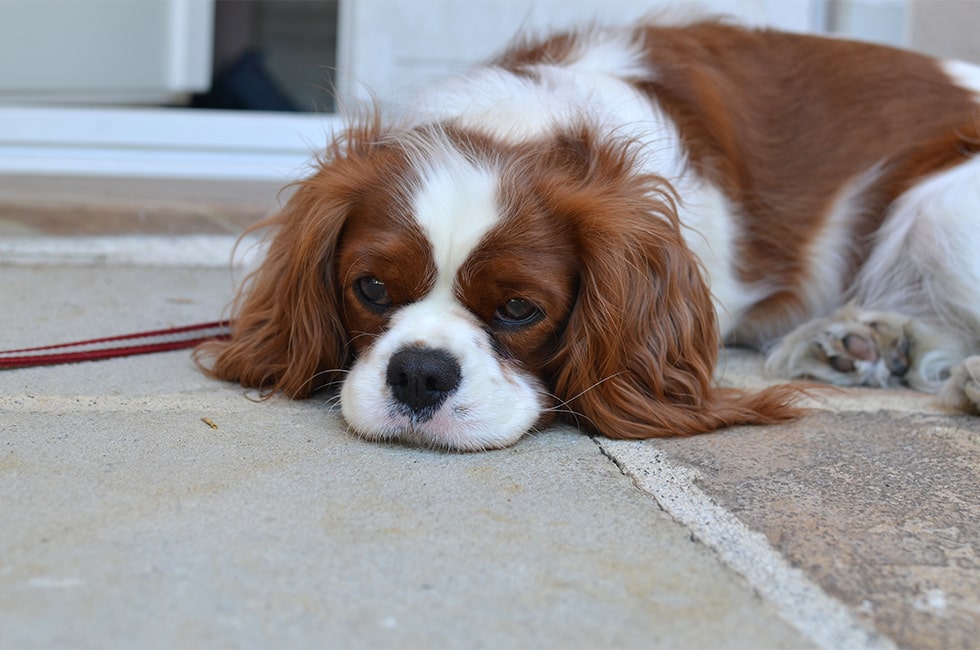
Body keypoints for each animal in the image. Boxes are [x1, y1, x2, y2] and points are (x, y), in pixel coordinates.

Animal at [195, 17, 980, 448]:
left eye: (519, 309)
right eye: (371, 289)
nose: (420, 374)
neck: (528, 127)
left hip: (940, 210)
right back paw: (861, 342)